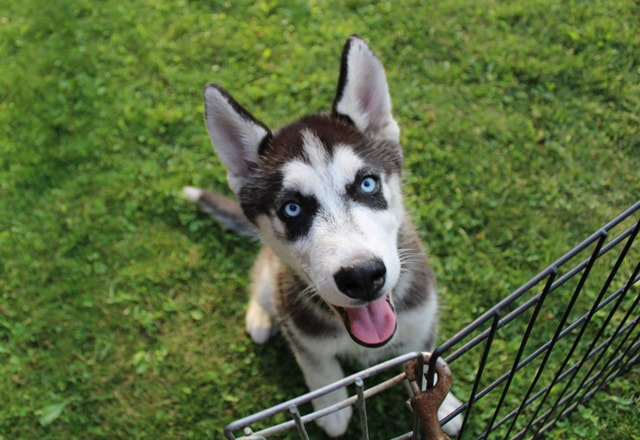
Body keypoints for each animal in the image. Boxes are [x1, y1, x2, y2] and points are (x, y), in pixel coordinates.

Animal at [184, 34, 460, 436]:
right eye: (292, 209)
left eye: (367, 183)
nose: (362, 277)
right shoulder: (300, 329)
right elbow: (318, 366)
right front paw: (331, 407)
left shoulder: (423, 315)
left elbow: (425, 356)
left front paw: (443, 404)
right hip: (274, 281)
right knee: (261, 279)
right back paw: (260, 318)